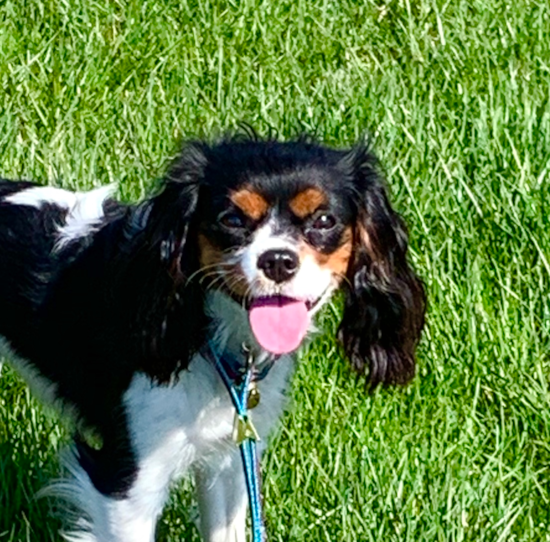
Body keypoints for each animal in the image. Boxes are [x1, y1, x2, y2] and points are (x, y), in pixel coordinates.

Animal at [0, 137, 426, 542]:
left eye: (323, 220)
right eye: (232, 219)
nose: (277, 260)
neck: (214, 335)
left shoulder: (228, 457)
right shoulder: (126, 482)